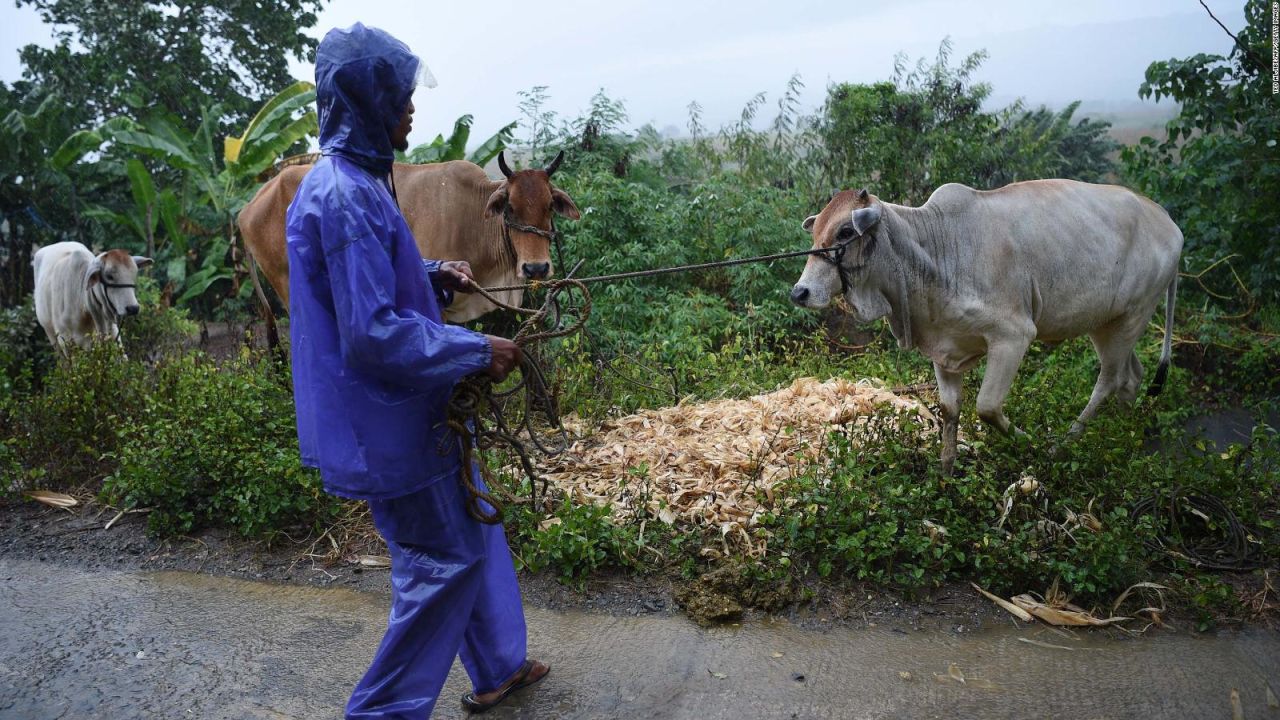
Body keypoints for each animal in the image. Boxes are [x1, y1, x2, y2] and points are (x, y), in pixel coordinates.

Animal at [793, 178, 1182, 471]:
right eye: (816, 234)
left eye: (846, 231)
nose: (801, 292)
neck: (934, 251)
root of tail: (1168, 222)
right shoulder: (943, 349)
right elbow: (950, 410)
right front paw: (946, 473)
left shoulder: (1013, 336)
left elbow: (987, 407)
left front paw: (1028, 443)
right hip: (1108, 324)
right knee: (1130, 377)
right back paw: (1122, 433)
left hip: (1132, 315)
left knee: (1108, 381)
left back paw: (1064, 443)